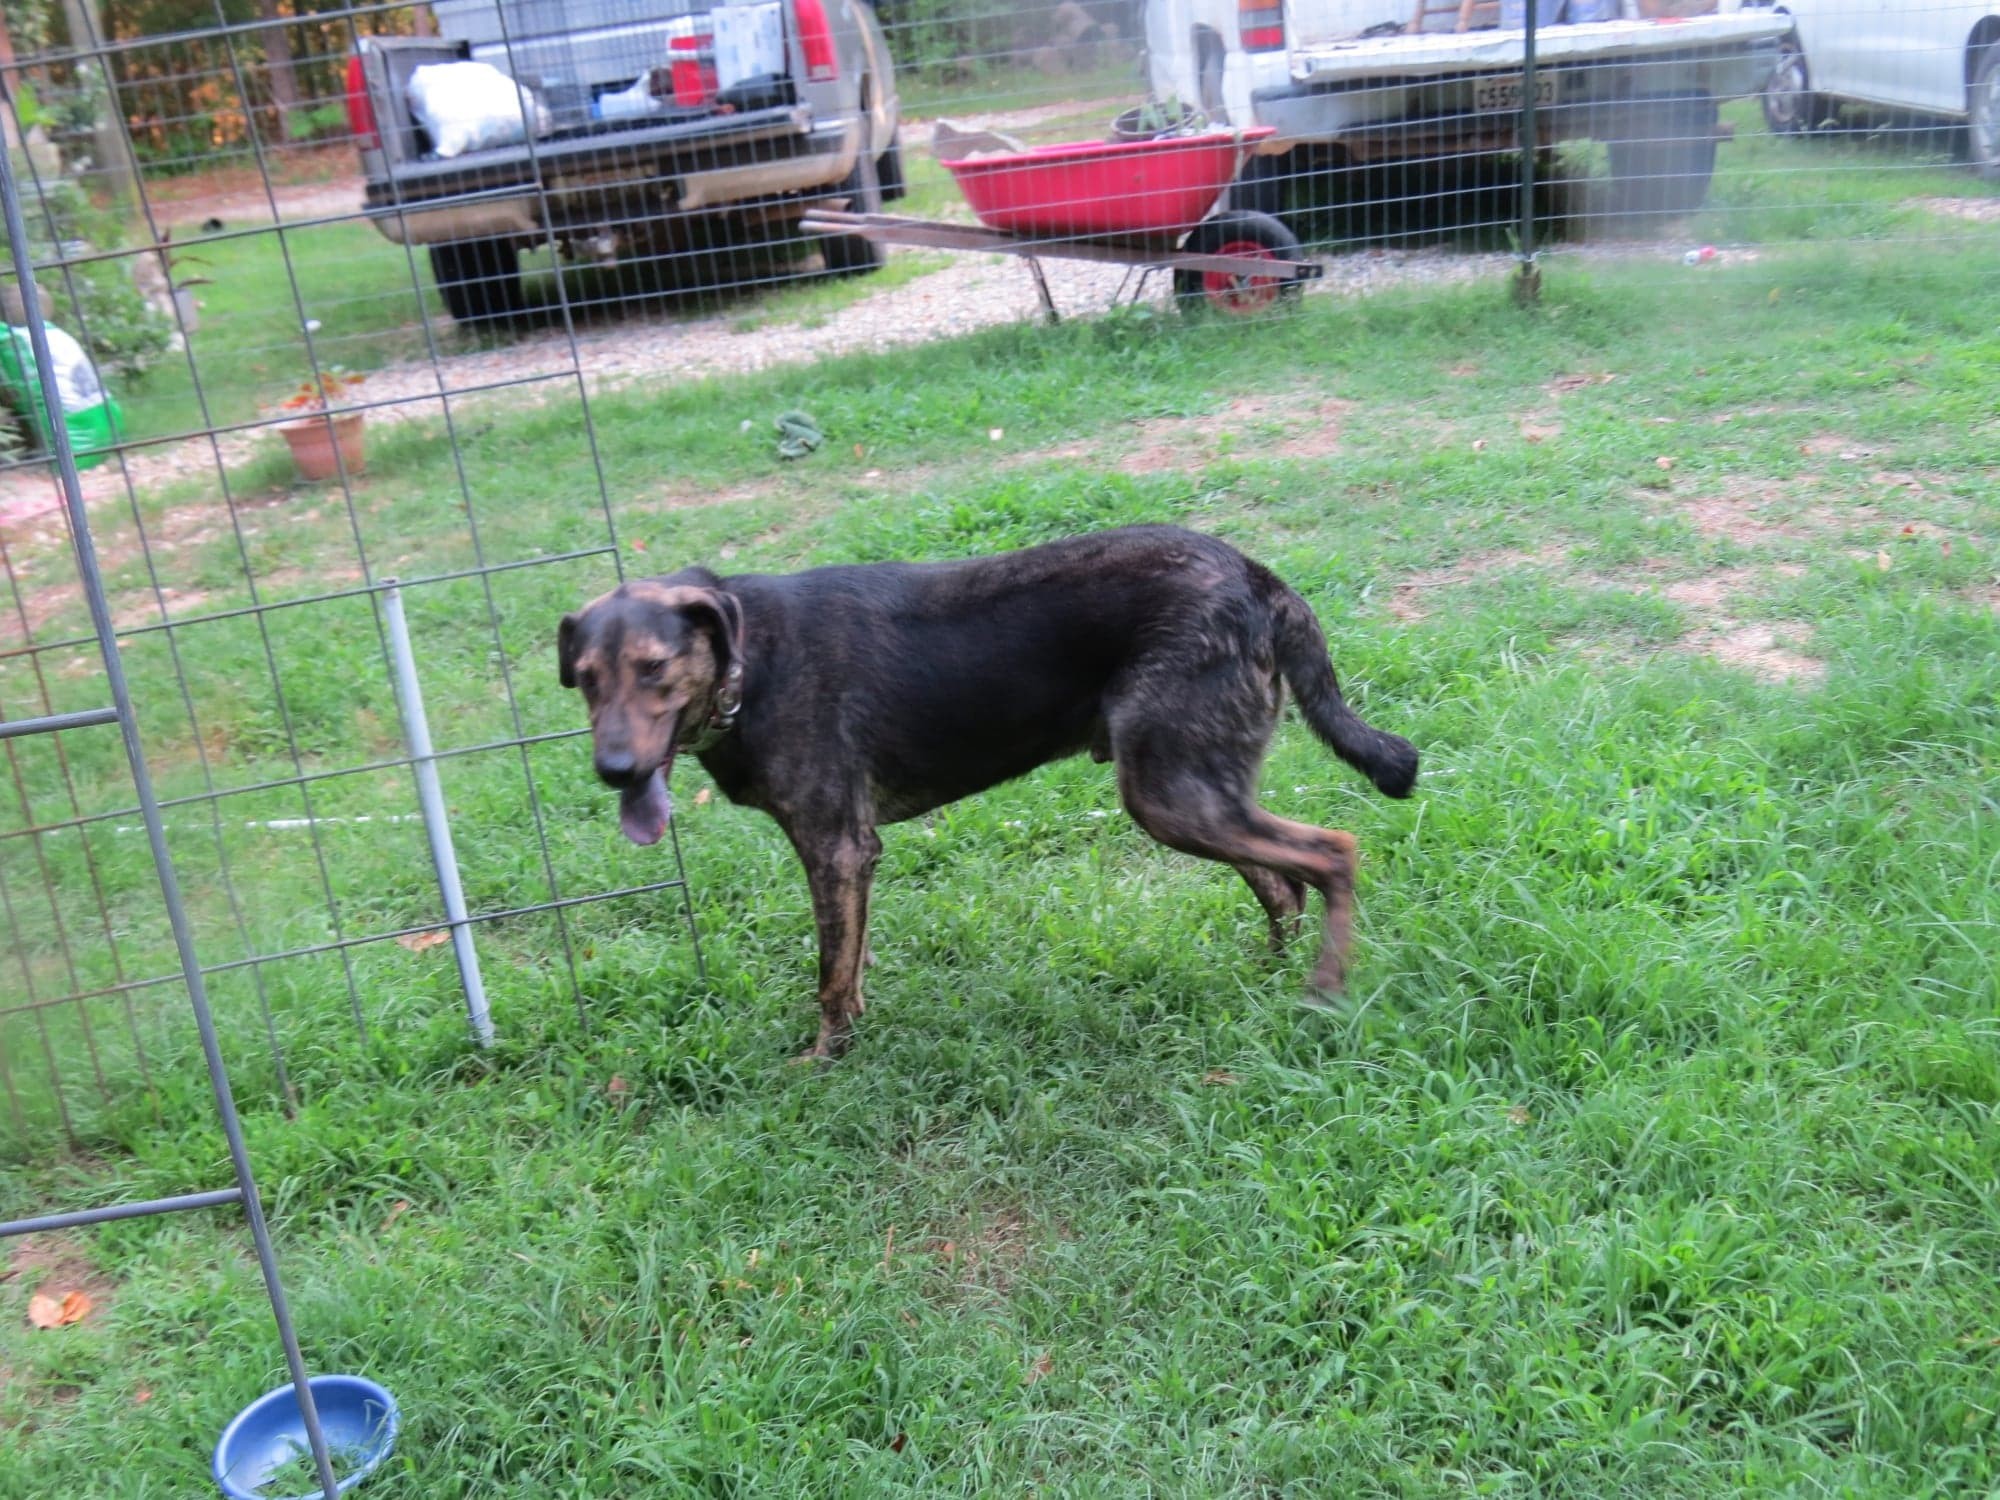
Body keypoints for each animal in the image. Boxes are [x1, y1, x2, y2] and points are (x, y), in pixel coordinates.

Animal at [556, 524, 1416, 1064]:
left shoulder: (835, 847)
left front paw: (824, 1061)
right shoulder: (856, 856)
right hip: (1191, 785)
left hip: (1169, 792)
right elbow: (853, 967)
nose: (615, 771)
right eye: (587, 680)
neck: (748, 662)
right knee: (1282, 882)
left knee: (1332, 854)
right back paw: (1269, 975)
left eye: (654, 668)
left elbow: (830, 974)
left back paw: (1323, 993)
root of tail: (1254, 575)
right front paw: (854, 1039)